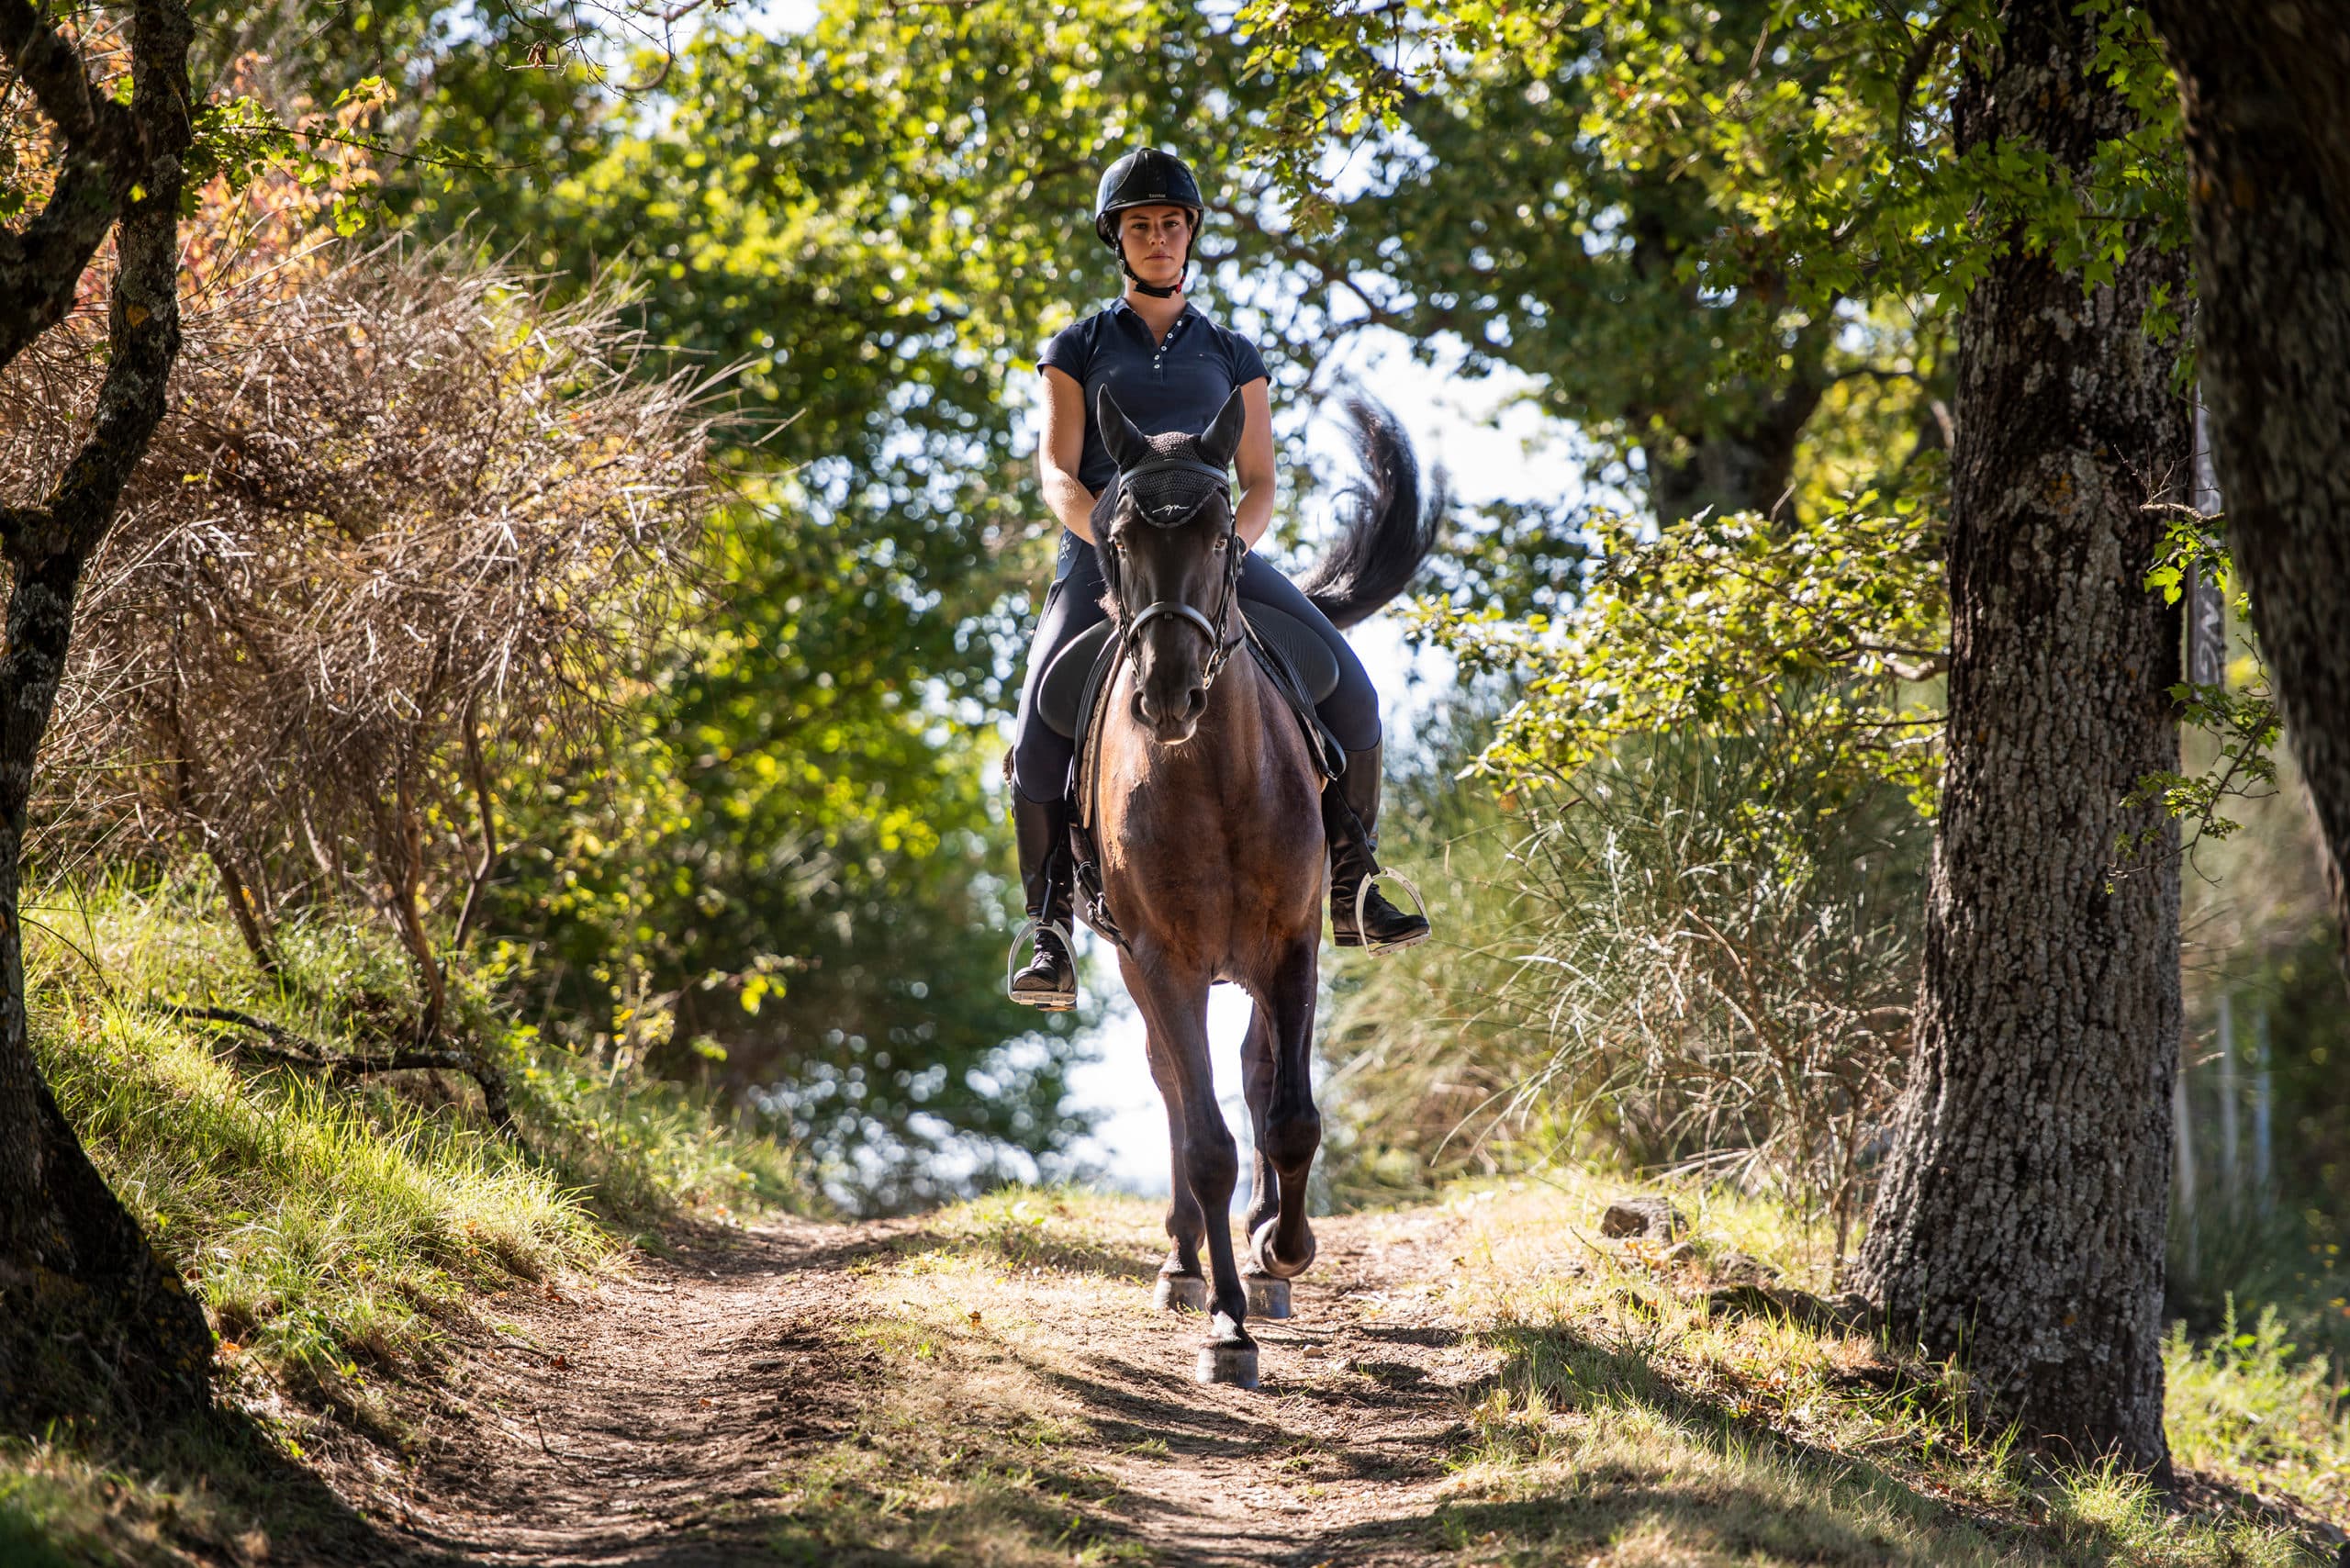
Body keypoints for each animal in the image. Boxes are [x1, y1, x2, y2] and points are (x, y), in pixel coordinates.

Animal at [1076, 383, 1428, 1382]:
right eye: (1119, 536)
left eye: (1222, 532)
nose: (1168, 693)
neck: (1215, 780)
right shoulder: (1162, 962)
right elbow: (1205, 1142)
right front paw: (1225, 1326)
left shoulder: (1292, 946)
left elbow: (1291, 1117)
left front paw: (1285, 1246)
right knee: (1176, 1084)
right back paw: (1184, 1264)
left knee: (1258, 1069)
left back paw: (1268, 1251)